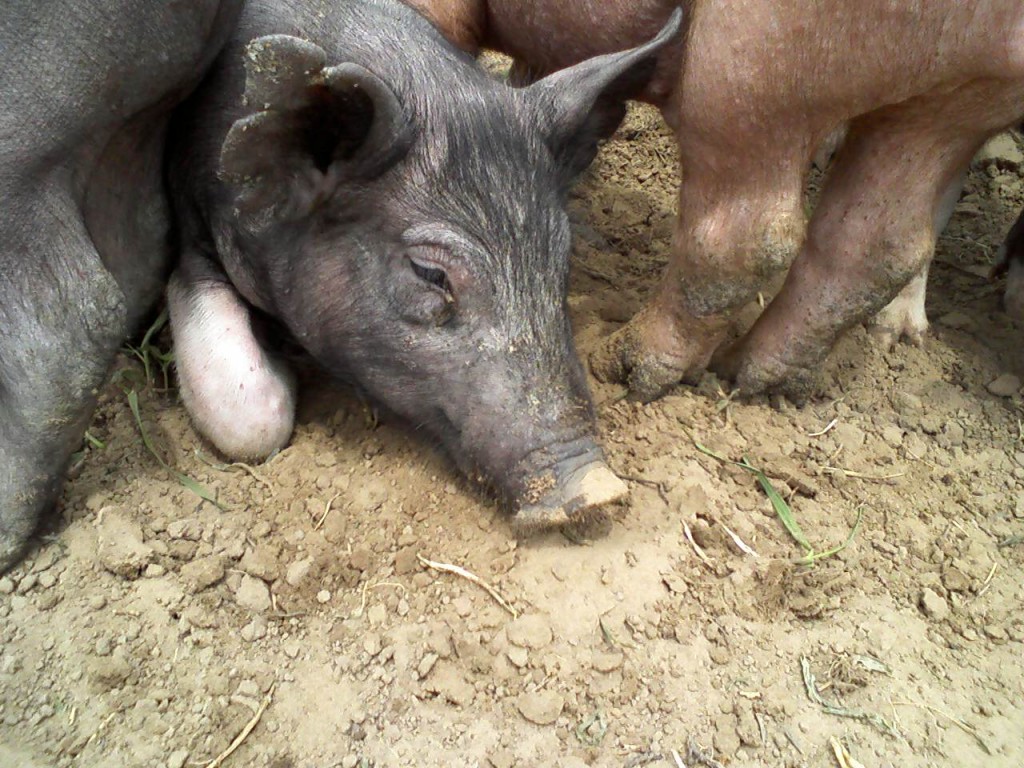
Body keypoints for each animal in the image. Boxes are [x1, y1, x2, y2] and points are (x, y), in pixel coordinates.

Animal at [408, 0, 1024, 400]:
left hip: (757, 61)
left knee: (745, 237)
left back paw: (625, 367)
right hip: (959, 99)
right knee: (882, 244)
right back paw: (759, 380)